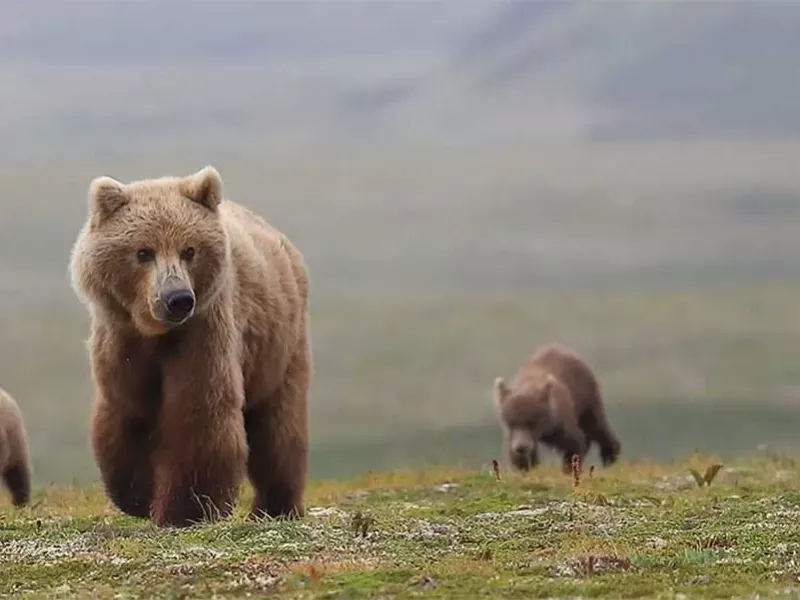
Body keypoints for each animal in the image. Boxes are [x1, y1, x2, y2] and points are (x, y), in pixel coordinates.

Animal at [68, 165, 312, 528]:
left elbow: (199, 410)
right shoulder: (121, 342)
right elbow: (129, 412)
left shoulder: (203, 331)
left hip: (281, 346)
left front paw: (187, 509)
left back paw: (275, 507)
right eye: (143, 251)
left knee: (278, 429)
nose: (178, 298)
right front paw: (138, 495)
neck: (154, 332)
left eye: (189, 250)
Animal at [492, 343, 621, 474]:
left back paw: (610, 457)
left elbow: (573, 443)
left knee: (596, 427)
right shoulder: (514, 435)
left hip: (586, 396)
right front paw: (524, 466)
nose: (521, 447)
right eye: (511, 421)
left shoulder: (560, 422)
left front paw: (569, 468)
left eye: (532, 421)